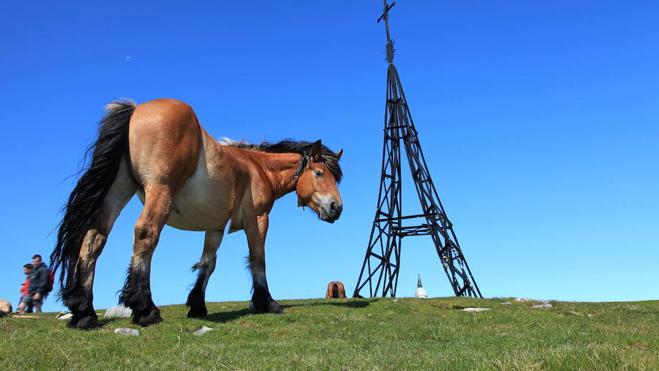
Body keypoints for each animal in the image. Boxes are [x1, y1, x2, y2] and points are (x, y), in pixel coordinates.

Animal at [50, 98, 346, 328]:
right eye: (319, 173)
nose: (337, 207)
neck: (257, 168)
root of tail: (136, 110)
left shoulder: (215, 226)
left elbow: (207, 263)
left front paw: (197, 305)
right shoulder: (258, 220)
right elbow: (258, 258)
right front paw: (267, 302)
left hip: (118, 190)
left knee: (94, 239)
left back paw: (84, 311)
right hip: (160, 191)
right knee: (146, 235)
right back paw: (145, 308)